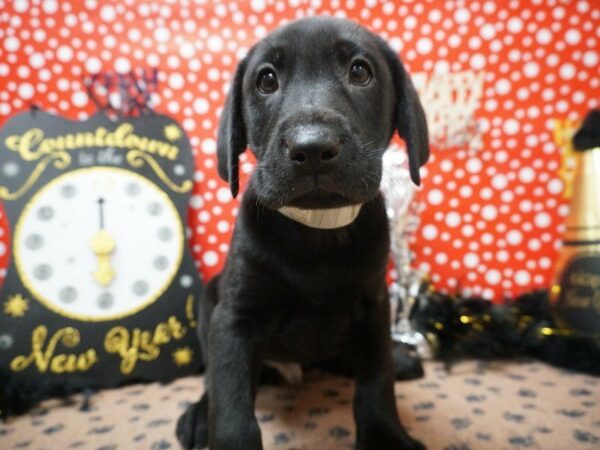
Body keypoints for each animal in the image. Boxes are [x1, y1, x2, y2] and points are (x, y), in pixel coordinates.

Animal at [176, 15, 428, 450]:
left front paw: (386, 435)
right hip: (210, 299)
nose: (311, 148)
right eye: (266, 80)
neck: (317, 232)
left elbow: (376, 379)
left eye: (360, 71)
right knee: (212, 378)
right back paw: (197, 415)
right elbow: (230, 401)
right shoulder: (233, 318)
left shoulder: (373, 306)